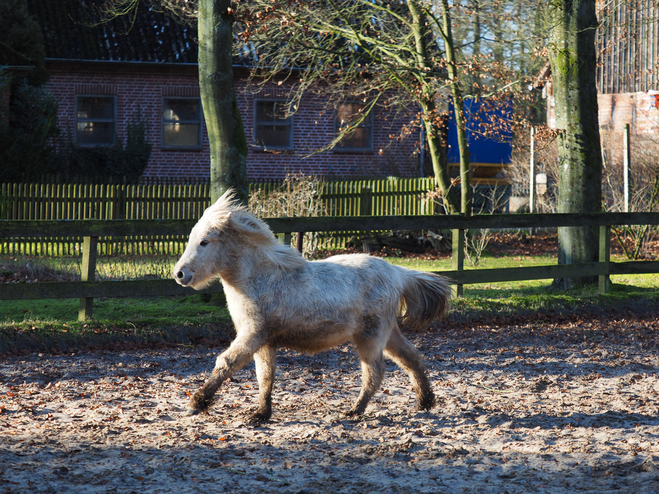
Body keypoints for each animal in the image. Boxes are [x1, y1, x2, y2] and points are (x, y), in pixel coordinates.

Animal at [175, 191, 452, 422]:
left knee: (374, 372)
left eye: (204, 242)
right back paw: (425, 402)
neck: (259, 279)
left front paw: (196, 404)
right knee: (411, 358)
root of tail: (397, 272)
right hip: (388, 332)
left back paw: (355, 410)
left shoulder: (252, 336)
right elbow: (265, 377)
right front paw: (261, 414)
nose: (179, 274)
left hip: (371, 337)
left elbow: (226, 362)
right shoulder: (264, 342)